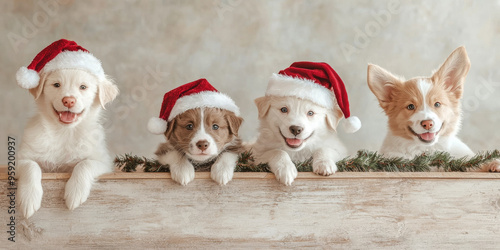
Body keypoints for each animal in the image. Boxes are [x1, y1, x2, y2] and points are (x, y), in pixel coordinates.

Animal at [15, 39, 118, 219]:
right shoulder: (19, 160)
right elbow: (31, 167)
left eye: (83, 87)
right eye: (56, 85)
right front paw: (29, 198)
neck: (64, 132)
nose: (68, 101)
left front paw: (75, 192)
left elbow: (84, 164)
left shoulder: (103, 162)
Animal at [368, 46, 500, 172]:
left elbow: (473, 164)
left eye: (437, 104)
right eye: (410, 106)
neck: (428, 151)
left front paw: (493, 164)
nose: (427, 124)